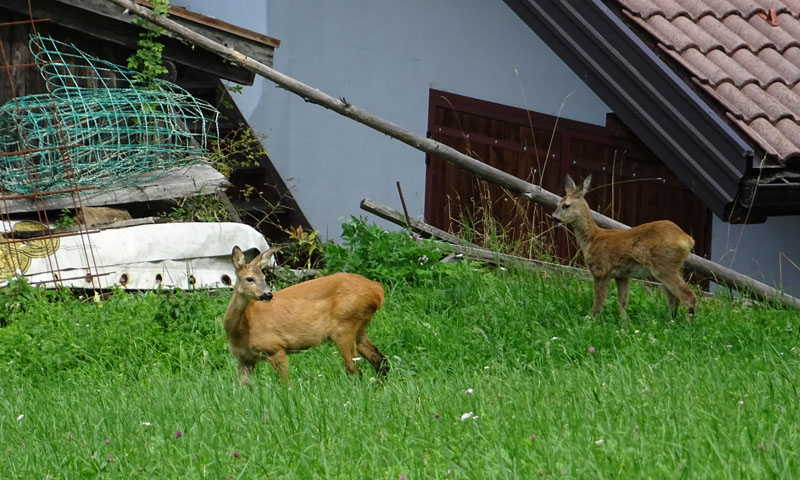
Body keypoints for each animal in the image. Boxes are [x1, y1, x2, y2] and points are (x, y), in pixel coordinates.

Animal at [223, 246, 390, 384]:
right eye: (249, 278)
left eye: (264, 278)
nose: (268, 294)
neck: (242, 331)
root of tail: (377, 290)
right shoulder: (244, 360)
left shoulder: (275, 347)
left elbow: (285, 385)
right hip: (360, 326)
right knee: (380, 360)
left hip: (344, 325)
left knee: (355, 370)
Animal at [552, 175, 696, 318]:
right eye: (557, 204)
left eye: (566, 205)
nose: (554, 218)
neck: (592, 239)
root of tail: (688, 239)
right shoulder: (622, 275)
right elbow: (623, 302)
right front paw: (623, 321)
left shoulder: (601, 270)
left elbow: (598, 302)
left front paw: (593, 319)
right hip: (670, 267)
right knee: (674, 299)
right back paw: (670, 320)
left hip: (665, 265)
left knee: (688, 297)